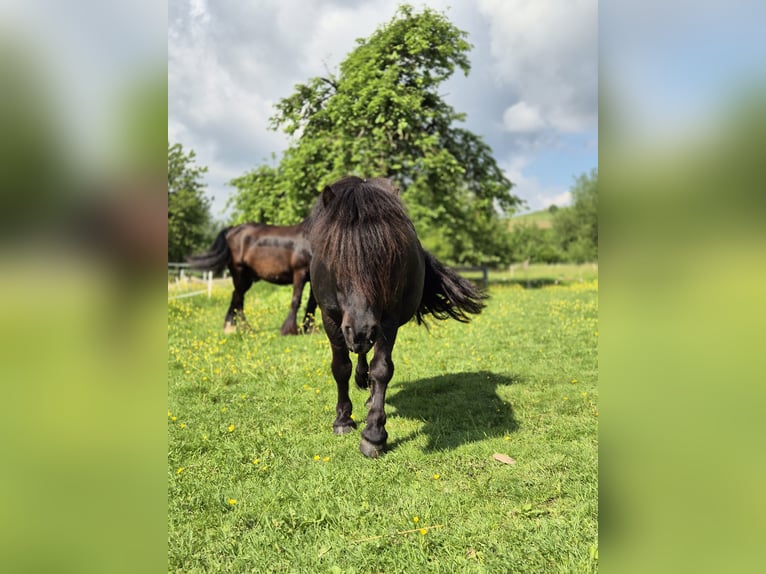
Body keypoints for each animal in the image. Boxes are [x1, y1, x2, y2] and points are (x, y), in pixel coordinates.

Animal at [189, 222, 318, 338]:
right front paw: (289, 330)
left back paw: (231, 328)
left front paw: (309, 329)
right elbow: (296, 300)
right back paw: (244, 329)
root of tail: (231, 230)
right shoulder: (299, 273)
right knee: (238, 299)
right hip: (239, 273)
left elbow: (312, 303)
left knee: (236, 297)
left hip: (246, 279)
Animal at [306, 177, 486, 460]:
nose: (361, 330)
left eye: (385, 260)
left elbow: (381, 369)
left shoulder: (387, 320)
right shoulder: (331, 319)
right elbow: (341, 367)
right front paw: (343, 420)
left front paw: (374, 435)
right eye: (334, 260)